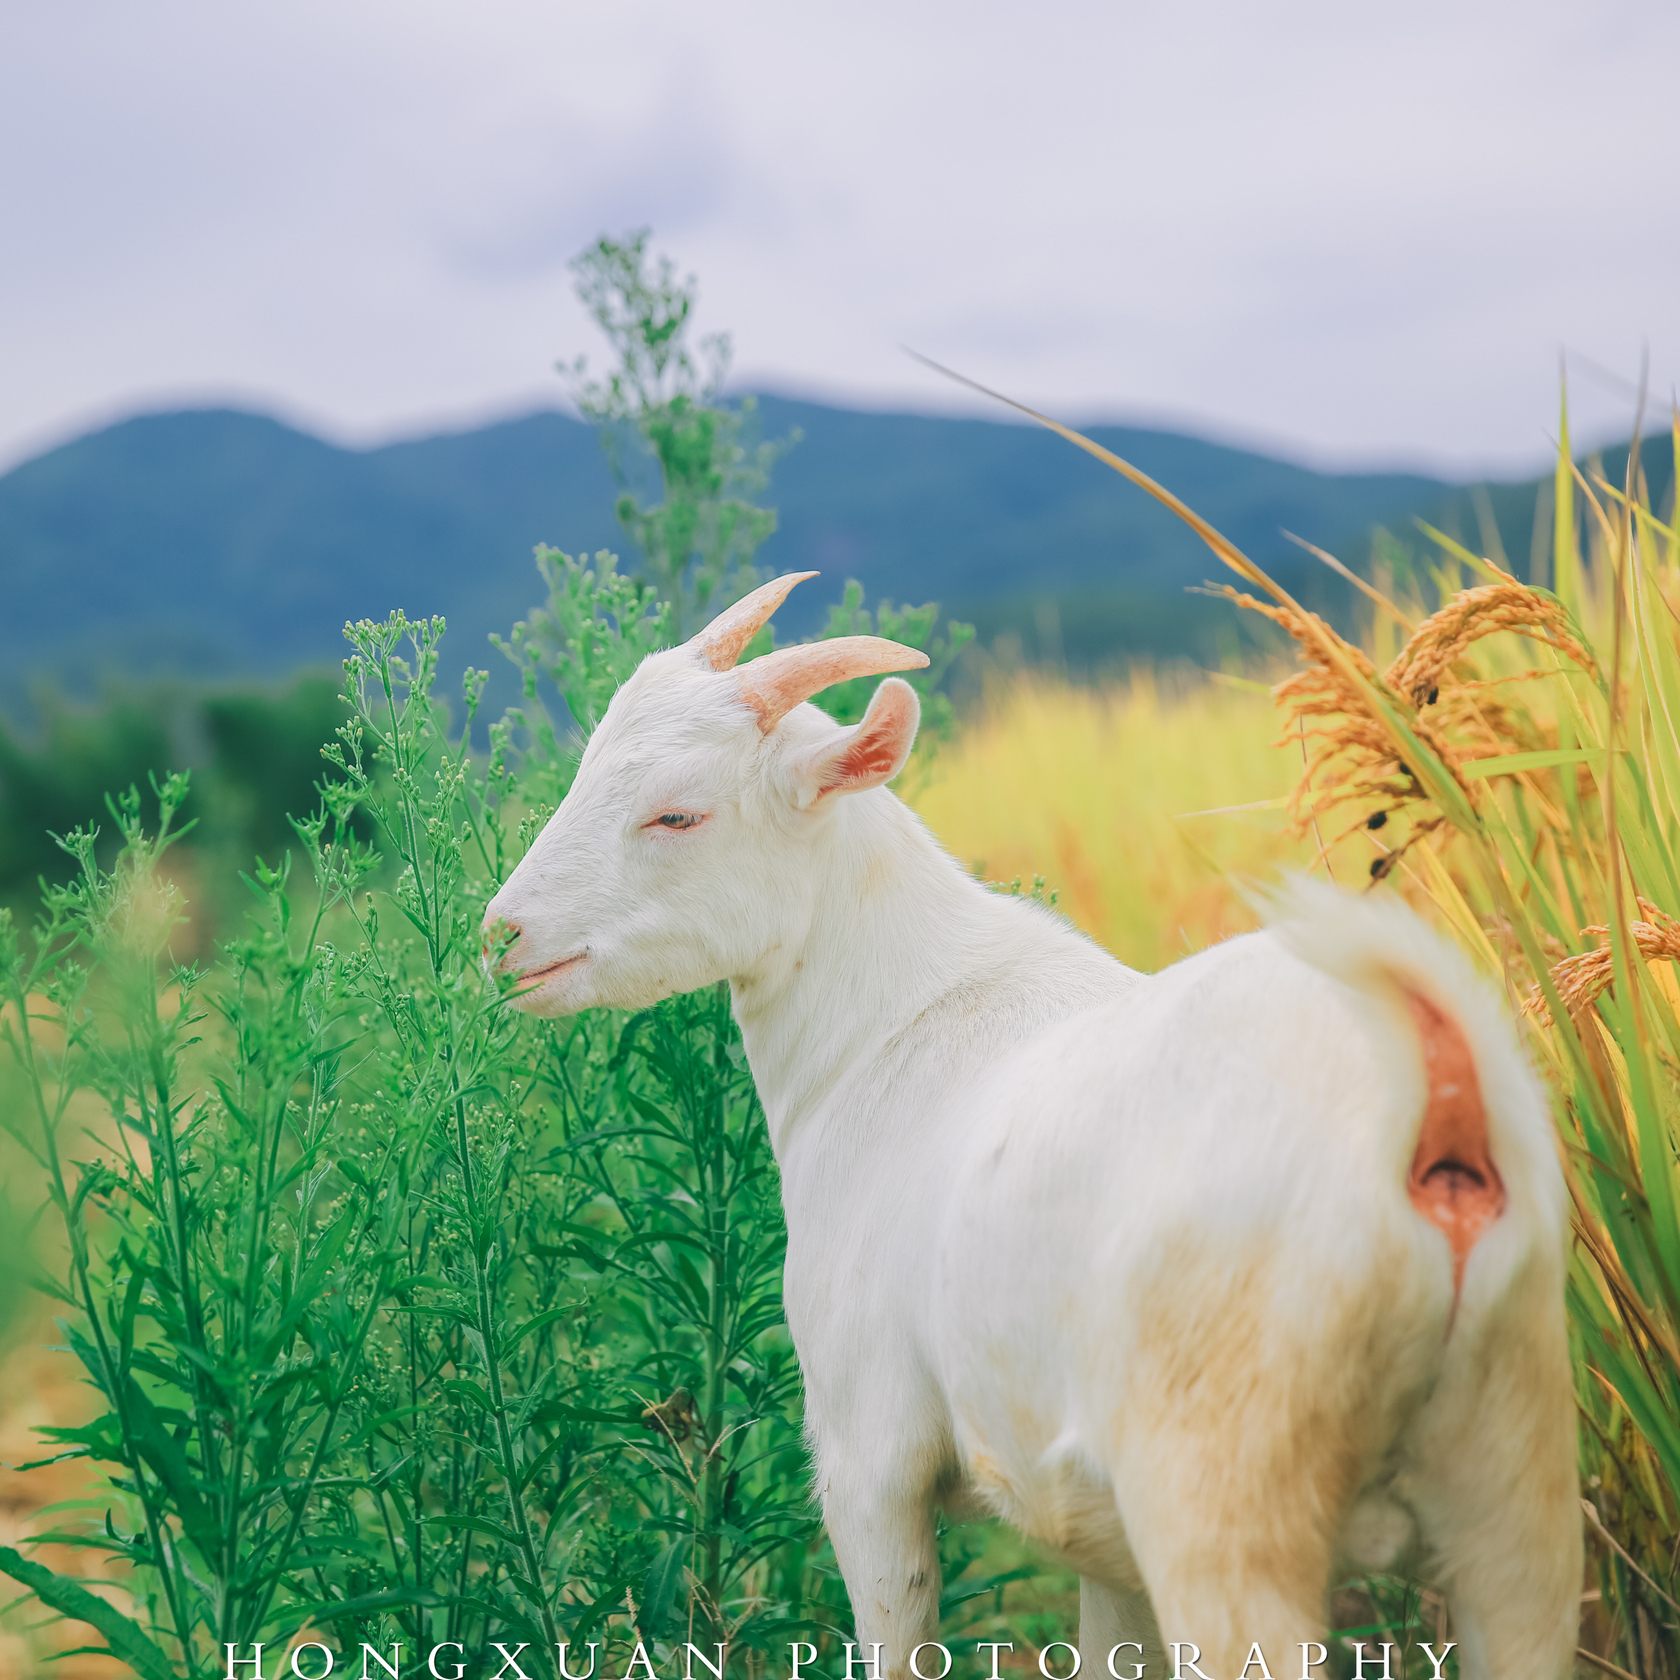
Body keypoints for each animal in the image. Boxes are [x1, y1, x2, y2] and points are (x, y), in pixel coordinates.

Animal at [483, 571, 1572, 1673]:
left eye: (678, 815)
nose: (503, 937)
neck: (891, 1022)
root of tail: (1436, 1095)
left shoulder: (867, 1456)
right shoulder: (1102, 1539)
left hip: (1224, 1491)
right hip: (1515, 1489)